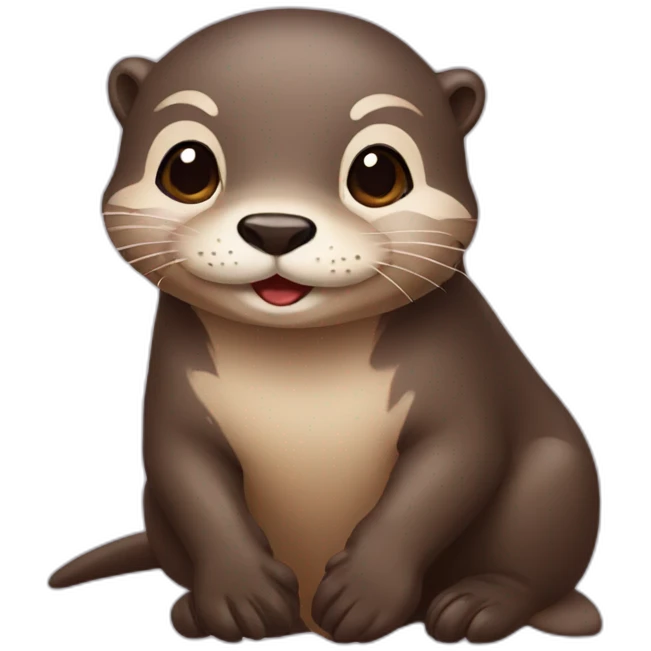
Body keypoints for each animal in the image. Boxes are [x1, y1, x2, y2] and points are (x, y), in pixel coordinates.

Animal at [48, 8, 603, 645]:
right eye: (186, 168)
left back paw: (483, 605)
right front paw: (239, 597)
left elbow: (450, 464)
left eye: (378, 174)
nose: (276, 227)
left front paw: (365, 592)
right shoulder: (176, 391)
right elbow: (186, 471)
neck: (301, 369)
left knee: (532, 566)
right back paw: (194, 613)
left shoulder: (461, 373)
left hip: (556, 472)